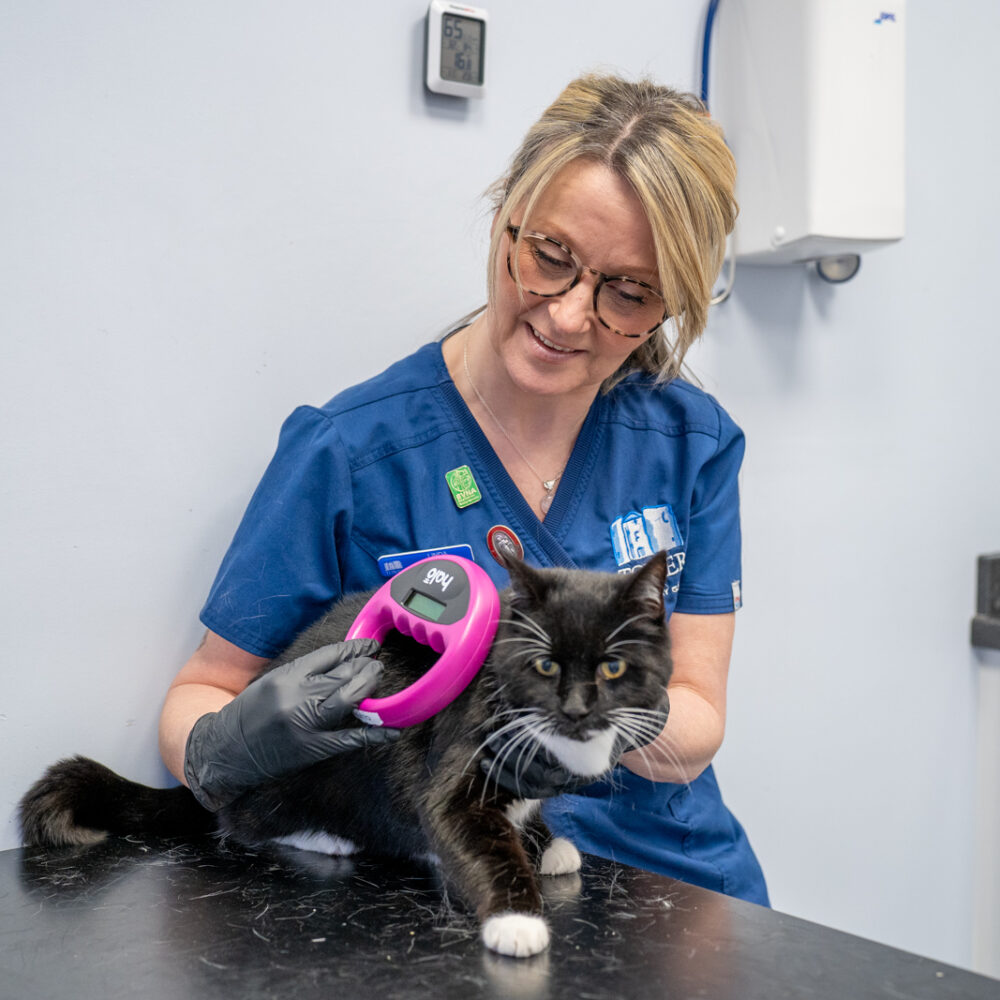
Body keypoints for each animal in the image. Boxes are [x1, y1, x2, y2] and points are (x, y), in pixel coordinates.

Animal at [19, 556, 672, 952]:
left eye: (614, 668)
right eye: (545, 665)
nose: (577, 709)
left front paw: (544, 841)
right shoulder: (455, 761)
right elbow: (465, 832)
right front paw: (516, 919)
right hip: (279, 773)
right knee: (239, 822)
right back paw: (326, 837)